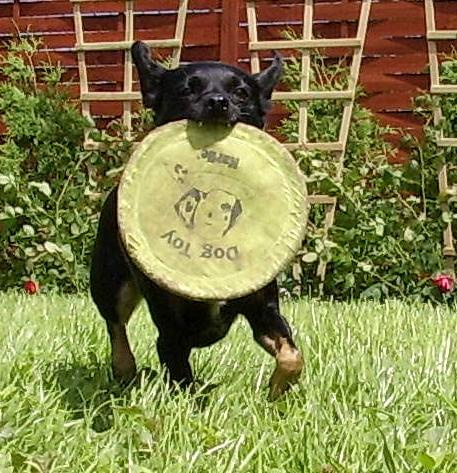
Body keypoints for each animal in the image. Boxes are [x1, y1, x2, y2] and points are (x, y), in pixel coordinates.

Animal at [89, 42, 302, 400]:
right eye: (187, 89)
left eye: (241, 93)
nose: (218, 101)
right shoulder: (170, 329)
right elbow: (180, 374)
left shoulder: (264, 311)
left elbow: (292, 355)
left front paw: (277, 391)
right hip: (107, 280)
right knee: (115, 325)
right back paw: (124, 369)